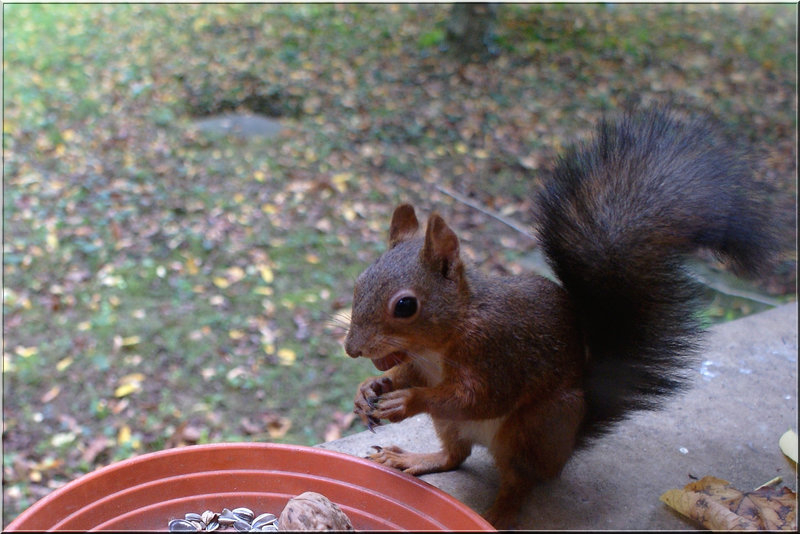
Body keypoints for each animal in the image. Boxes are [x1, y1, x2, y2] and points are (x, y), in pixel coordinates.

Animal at [342, 107, 776, 528]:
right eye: (360, 279)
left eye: (405, 306)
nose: (351, 350)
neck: (445, 335)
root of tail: (567, 446)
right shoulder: (422, 364)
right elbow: (407, 376)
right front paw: (370, 388)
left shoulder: (495, 352)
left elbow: (479, 397)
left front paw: (407, 400)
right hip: (453, 425)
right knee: (455, 455)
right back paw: (411, 459)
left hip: (533, 428)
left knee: (518, 481)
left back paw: (497, 515)